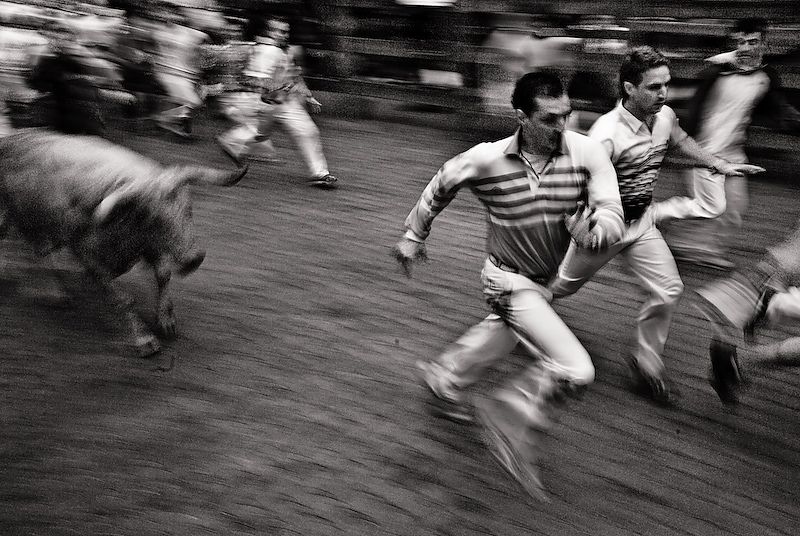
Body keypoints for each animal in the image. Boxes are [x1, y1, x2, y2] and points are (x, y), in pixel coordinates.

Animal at [0, 130, 248, 357]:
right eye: (153, 218)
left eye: (188, 208)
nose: (193, 259)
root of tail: (11, 139)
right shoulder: (88, 255)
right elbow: (122, 299)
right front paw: (144, 339)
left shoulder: (152, 247)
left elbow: (163, 275)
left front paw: (166, 319)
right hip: (16, 216)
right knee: (31, 249)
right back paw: (52, 290)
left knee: (39, 249)